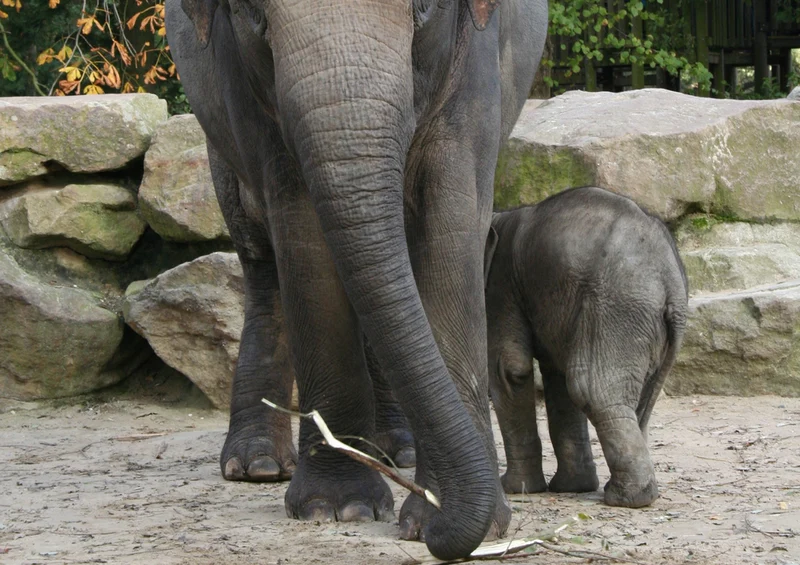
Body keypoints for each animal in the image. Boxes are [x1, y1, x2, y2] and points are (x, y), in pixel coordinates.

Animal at [165, 0, 547, 559]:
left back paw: (398, 452)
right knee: (262, 264)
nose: (442, 524)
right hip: (218, 148)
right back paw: (258, 465)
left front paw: (448, 519)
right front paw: (337, 507)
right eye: (255, 14)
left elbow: (451, 220)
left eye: (424, 9)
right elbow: (303, 236)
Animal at [483, 186, 688, 508]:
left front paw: (516, 489)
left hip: (618, 309)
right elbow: (556, 378)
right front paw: (572, 487)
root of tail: (673, 286)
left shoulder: (502, 286)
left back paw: (625, 498)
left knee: (590, 388)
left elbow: (511, 368)